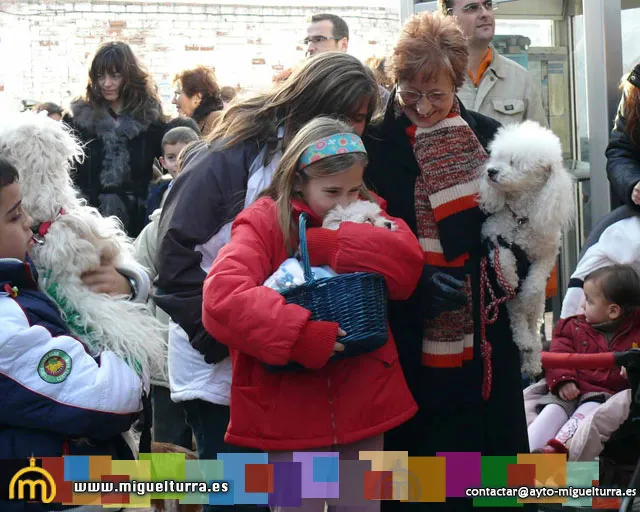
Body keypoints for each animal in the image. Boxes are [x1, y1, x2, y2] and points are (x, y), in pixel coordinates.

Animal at [480, 120, 576, 376]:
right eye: (497, 157)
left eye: (514, 162)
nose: (491, 171)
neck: (521, 219)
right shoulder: (494, 237)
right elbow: (504, 259)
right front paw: (511, 279)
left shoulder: (547, 254)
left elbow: (534, 284)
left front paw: (524, 288)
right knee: (517, 318)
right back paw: (524, 341)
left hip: (538, 308)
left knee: (531, 323)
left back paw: (532, 358)